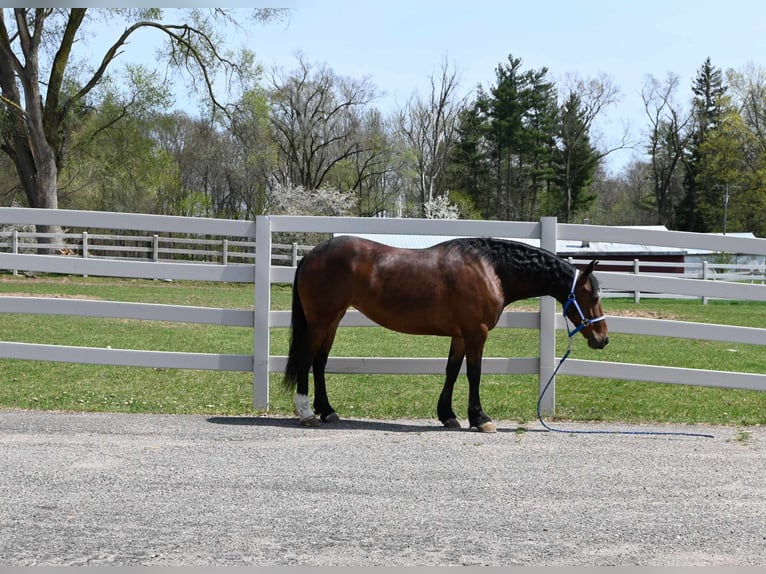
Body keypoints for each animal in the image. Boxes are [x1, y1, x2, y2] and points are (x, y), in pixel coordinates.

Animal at [284, 236, 612, 434]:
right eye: (594, 296)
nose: (603, 339)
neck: (490, 270)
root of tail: (311, 255)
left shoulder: (461, 335)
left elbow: (452, 371)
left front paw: (448, 415)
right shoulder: (476, 333)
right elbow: (474, 374)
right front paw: (480, 419)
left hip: (333, 320)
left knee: (320, 363)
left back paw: (327, 411)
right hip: (320, 321)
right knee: (306, 359)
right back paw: (307, 413)